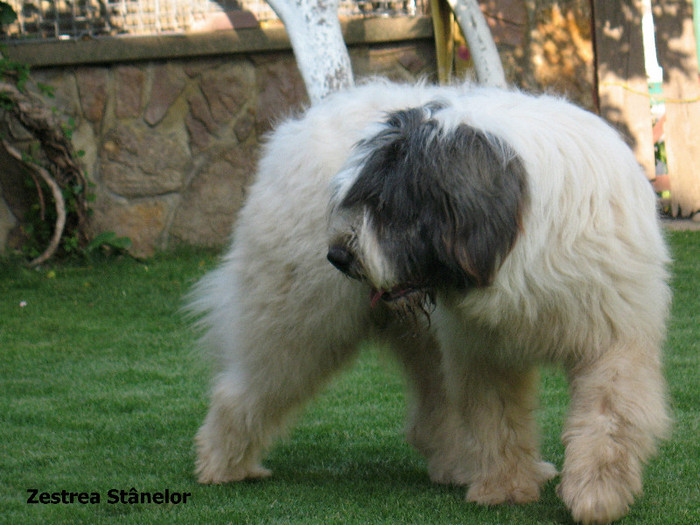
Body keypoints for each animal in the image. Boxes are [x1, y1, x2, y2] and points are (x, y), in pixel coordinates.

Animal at [189, 79, 668, 524]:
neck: (517, 241)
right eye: (355, 199)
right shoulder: (482, 351)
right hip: (294, 319)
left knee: (431, 412)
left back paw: (458, 466)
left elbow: (608, 416)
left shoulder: (613, 333)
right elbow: (496, 418)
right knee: (246, 387)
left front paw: (597, 493)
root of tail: (290, 132)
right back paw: (222, 465)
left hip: (407, 336)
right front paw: (505, 489)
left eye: (389, 207)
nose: (338, 256)